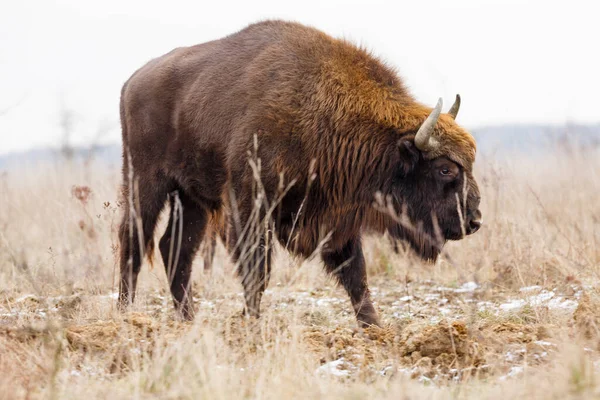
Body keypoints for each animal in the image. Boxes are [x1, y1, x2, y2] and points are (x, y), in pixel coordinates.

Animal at [118, 19, 482, 328]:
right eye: (445, 168)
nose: (474, 220)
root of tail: (133, 81)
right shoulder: (250, 205)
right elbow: (258, 270)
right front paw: (253, 324)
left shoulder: (337, 217)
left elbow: (356, 274)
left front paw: (374, 327)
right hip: (146, 182)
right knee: (133, 242)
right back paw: (124, 314)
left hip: (192, 198)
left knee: (175, 250)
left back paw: (188, 321)